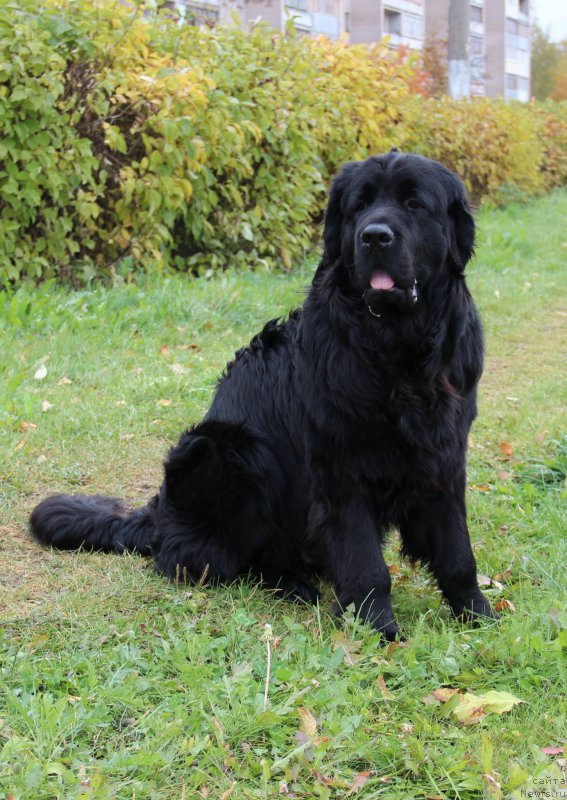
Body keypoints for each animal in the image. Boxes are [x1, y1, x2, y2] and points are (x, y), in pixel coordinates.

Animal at [30, 148, 496, 636]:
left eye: (414, 204)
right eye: (360, 206)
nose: (373, 236)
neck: (396, 351)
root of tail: (158, 516)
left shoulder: (444, 456)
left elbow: (456, 553)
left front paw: (476, 614)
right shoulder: (341, 469)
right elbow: (367, 563)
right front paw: (379, 627)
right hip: (227, 449)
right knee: (205, 558)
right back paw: (292, 585)